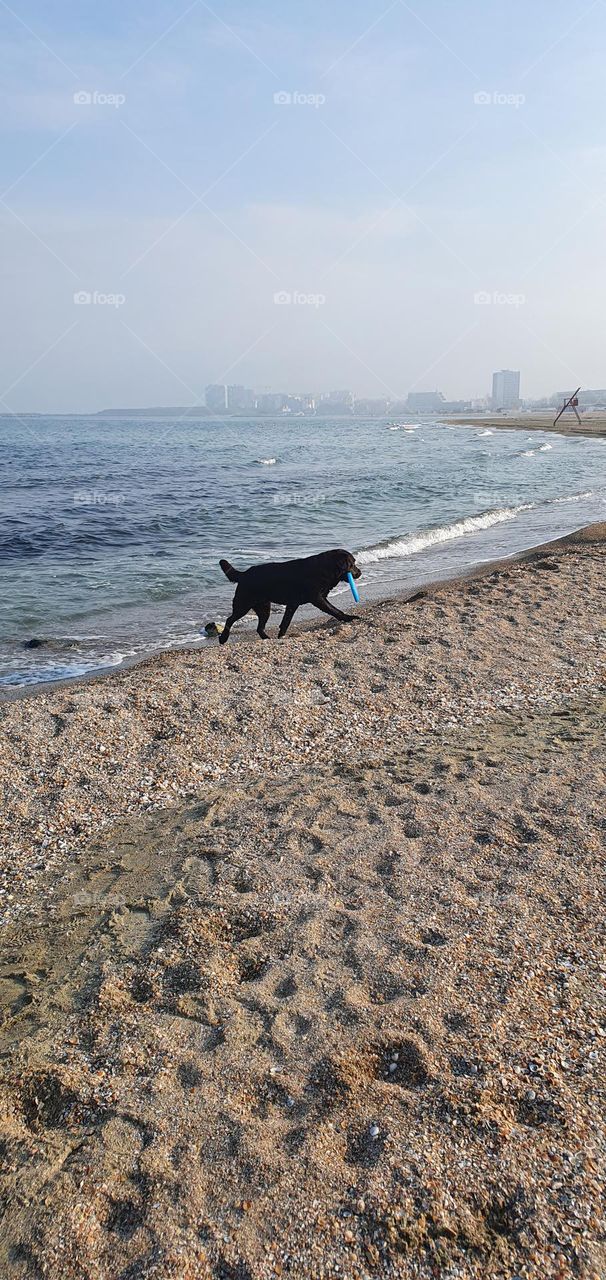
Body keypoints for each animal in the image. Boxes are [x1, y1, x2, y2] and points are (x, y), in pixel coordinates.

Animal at [217, 545, 358, 640]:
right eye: (352, 564)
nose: (360, 572)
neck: (325, 568)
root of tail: (244, 574)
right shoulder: (317, 599)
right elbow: (334, 610)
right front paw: (348, 618)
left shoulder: (293, 604)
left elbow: (285, 623)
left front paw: (281, 637)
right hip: (243, 605)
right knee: (229, 620)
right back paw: (223, 638)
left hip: (264, 608)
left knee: (259, 627)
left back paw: (266, 638)